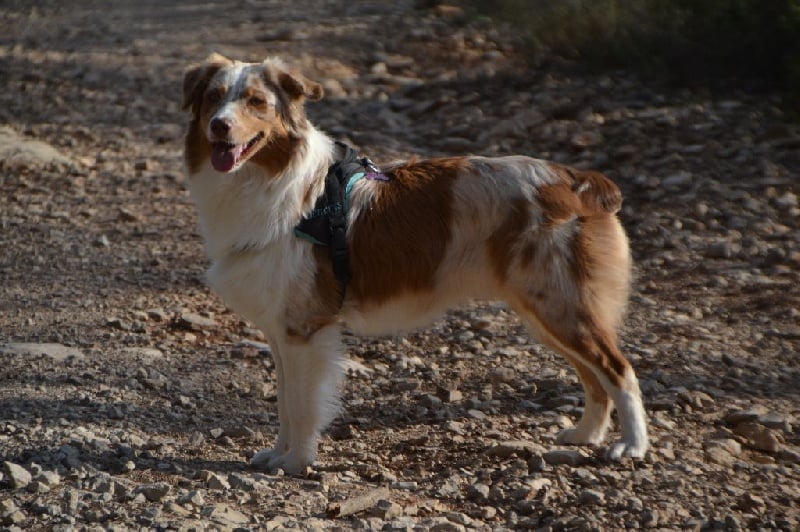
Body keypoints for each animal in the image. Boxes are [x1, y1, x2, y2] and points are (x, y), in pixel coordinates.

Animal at [181, 54, 648, 474]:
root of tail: (578, 180)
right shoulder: (281, 329)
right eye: (214, 97)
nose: (219, 125)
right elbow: (283, 402)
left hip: (560, 306)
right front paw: (277, 455)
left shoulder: (305, 328)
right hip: (545, 312)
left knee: (619, 370)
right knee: (594, 378)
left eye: (256, 102)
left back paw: (632, 446)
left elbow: (300, 407)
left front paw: (296, 462)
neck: (275, 182)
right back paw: (586, 435)